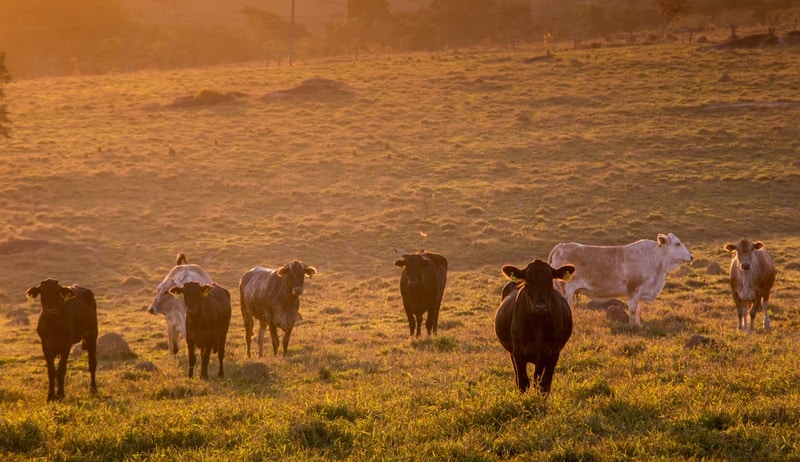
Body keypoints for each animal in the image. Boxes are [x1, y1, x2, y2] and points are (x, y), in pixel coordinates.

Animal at [494, 260, 576, 394]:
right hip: (512, 352)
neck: (538, 323)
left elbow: (544, 385)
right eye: (528, 281)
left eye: (549, 280)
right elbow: (523, 383)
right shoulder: (518, 352)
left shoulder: (553, 353)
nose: (540, 307)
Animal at [548, 233, 692, 326]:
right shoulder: (634, 289)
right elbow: (632, 310)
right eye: (677, 243)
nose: (691, 256)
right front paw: (630, 326)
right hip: (566, 290)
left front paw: (639, 325)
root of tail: (561, 246)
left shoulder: (641, 291)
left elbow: (638, 310)